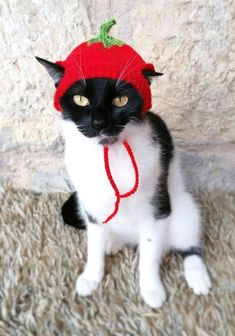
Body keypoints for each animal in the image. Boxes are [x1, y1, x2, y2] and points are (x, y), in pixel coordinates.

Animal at [36, 56, 211, 308]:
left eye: (120, 100)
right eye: (80, 99)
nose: (98, 122)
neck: (110, 153)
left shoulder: (156, 206)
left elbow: (149, 253)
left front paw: (151, 289)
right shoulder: (91, 206)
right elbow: (94, 244)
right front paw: (91, 277)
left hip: (183, 209)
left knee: (187, 243)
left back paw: (198, 276)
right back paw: (113, 244)